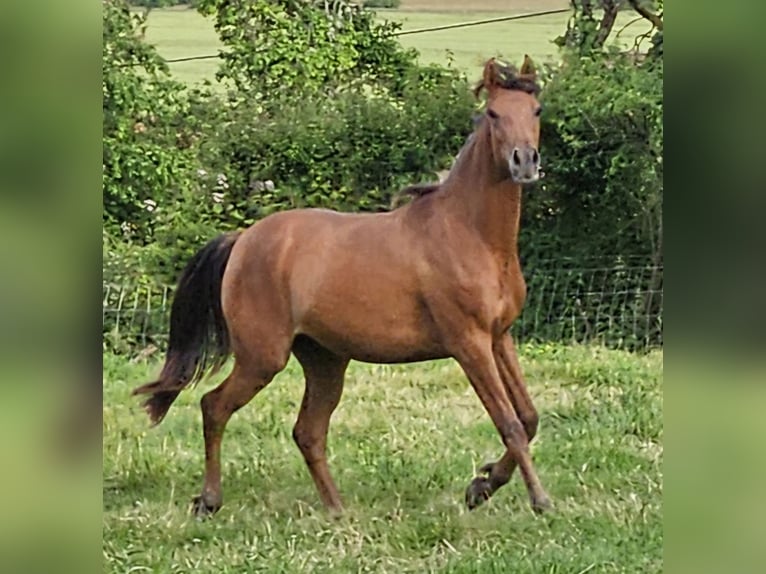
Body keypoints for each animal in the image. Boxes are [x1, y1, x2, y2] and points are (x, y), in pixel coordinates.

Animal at [134, 56, 552, 520]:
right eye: (494, 114)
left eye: (535, 111)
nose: (524, 162)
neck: (469, 233)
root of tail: (243, 240)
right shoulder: (469, 343)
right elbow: (509, 422)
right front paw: (538, 500)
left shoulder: (499, 337)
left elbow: (529, 416)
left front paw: (482, 485)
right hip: (263, 357)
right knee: (214, 406)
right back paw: (209, 500)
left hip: (325, 360)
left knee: (308, 431)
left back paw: (337, 511)